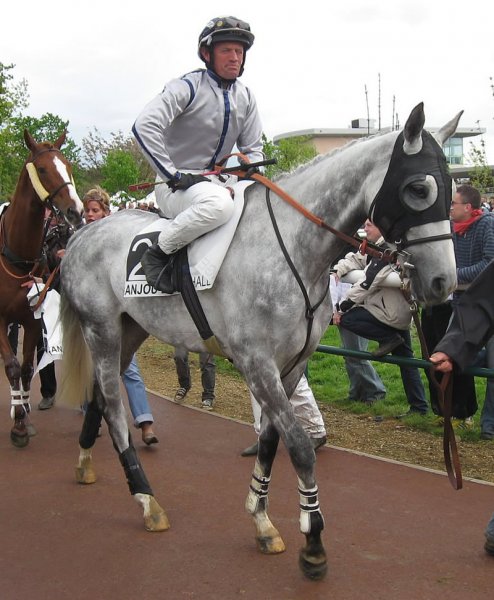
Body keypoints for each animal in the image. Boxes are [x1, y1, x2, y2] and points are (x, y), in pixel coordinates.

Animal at [0, 130, 83, 446]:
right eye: (44, 169)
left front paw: (22, 418)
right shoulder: (0, 319)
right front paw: (18, 422)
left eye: (68, 166)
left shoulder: (32, 320)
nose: (76, 211)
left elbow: (25, 368)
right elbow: (11, 366)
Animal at [60, 104, 460, 580]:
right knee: (114, 408)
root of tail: (82, 234)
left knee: (102, 399)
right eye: (418, 188)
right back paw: (146, 499)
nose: (444, 282)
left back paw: (85, 463)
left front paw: (262, 519)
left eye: (453, 189)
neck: (290, 250)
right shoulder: (256, 363)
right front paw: (313, 541)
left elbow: (272, 441)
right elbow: (300, 446)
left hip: (130, 329)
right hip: (101, 330)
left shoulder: (292, 365)